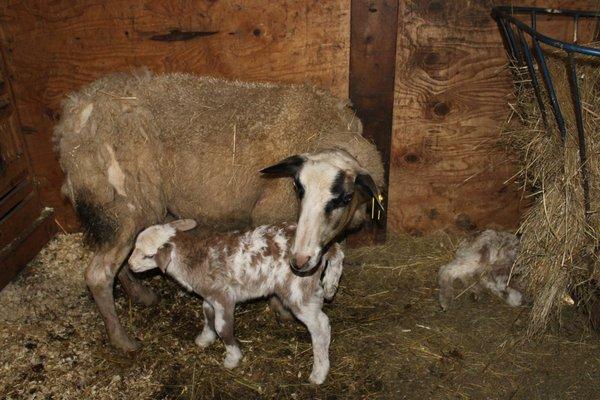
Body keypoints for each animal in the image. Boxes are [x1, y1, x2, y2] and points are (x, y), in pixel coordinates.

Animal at [55, 70, 384, 352]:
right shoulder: (272, 216)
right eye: (297, 188)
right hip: (124, 202)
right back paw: (122, 339)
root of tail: (73, 116)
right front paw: (281, 308)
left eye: (344, 198)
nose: (301, 261)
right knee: (98, 274)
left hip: (121, 209)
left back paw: (141, 295)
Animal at [126, 219, 342, 384]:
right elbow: (207, 314)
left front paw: (232, 358)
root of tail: (328, 250)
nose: (129, 265)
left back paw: (319, 372)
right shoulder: (211, 296)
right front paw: (205, 338)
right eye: (135, 247)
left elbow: (223, 328)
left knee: (321, 326)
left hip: (298, 289)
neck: (195, 260)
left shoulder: (224, 297)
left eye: (148, 255)